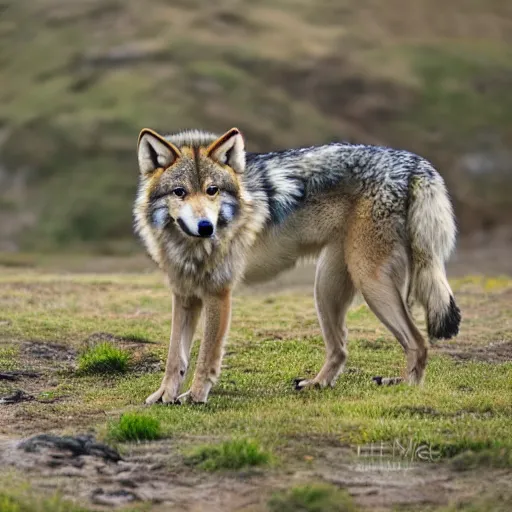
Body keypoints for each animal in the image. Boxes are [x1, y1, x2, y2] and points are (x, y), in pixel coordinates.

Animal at [134, 127, 462, 404]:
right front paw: (164, 396)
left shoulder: (218, 294)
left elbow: (205, 357)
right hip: (326, 290)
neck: (189, 245)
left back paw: (405, 388)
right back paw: (318, 384)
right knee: (341, 349)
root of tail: (415, 162)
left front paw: (195, 396)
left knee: (418, 342)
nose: (206, 227)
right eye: (180, 192)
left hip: (370, 283)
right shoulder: (184, 296)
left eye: (212, 190)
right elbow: (175, 357)